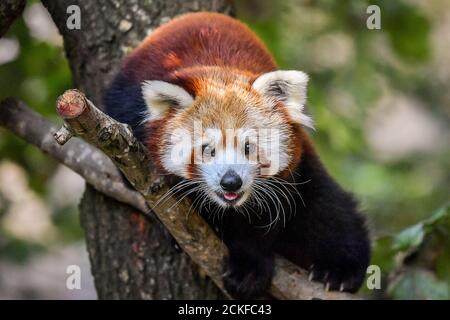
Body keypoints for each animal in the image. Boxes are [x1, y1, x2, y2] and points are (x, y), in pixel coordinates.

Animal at [104, 11, 370, 298]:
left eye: (248, 147)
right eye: (207, 149)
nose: (230, 182)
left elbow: (263, 221)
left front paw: (249, 267)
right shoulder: (128, 113)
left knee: (326, 207)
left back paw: (340, 269)